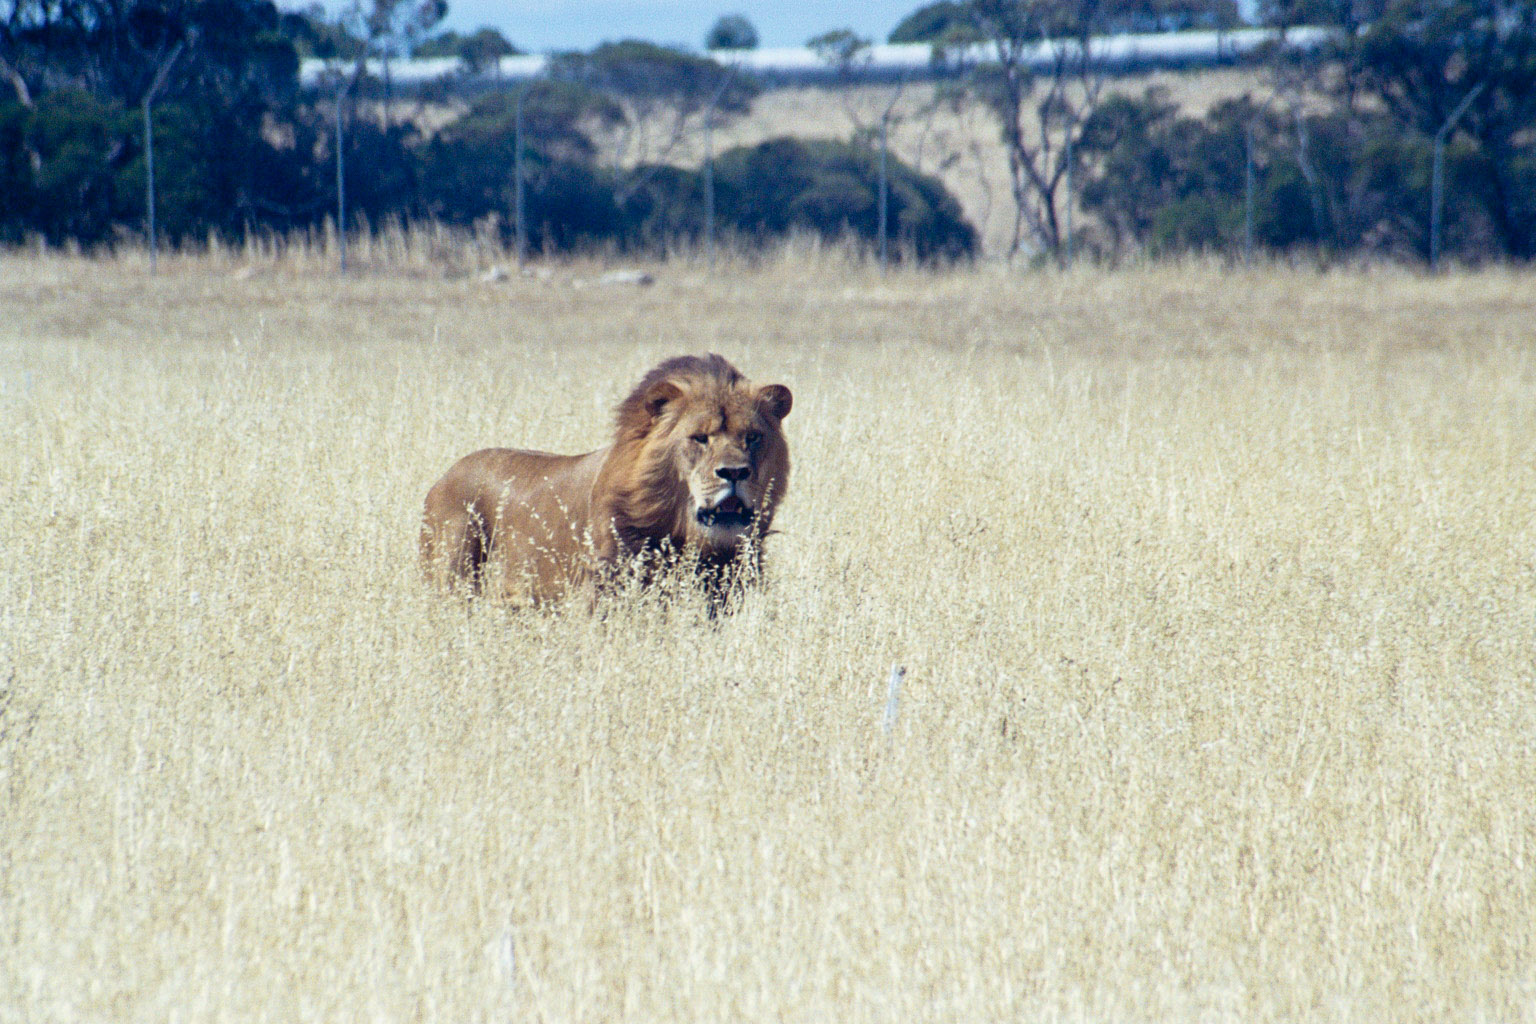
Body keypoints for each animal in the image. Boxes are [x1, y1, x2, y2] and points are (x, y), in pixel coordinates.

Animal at [419, 353, 792, 608]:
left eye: (753, 437)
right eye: (700, 438)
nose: (735, 472)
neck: (681, 531)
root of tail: (442, 478)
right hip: (451, 582)